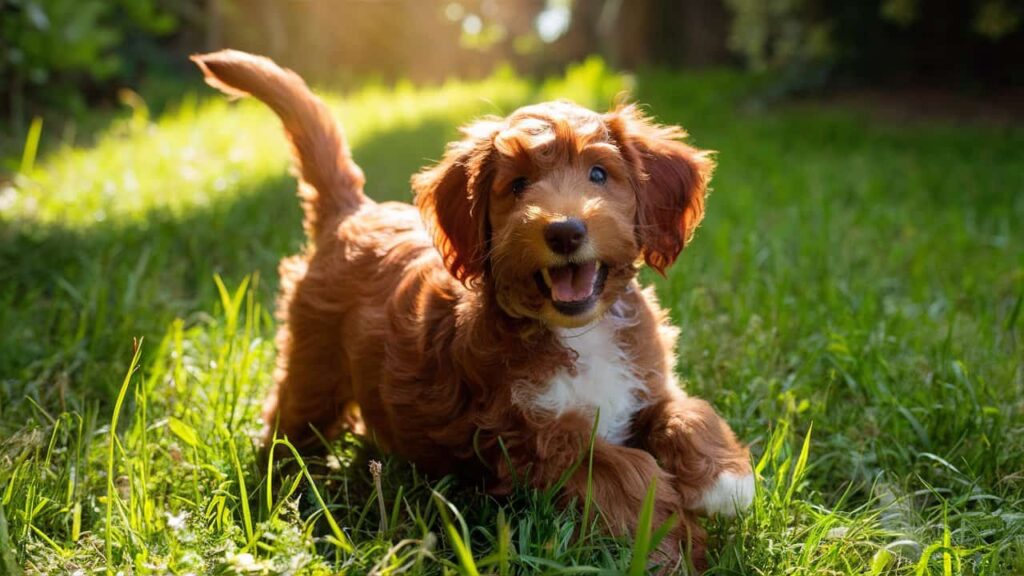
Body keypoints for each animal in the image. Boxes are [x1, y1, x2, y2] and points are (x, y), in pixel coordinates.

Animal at [193, 50, 753, 569]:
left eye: (599, 174)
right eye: (518, 186)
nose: (564, 231)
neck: (579, 331)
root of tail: (353, 211)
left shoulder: (642, 384)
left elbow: (688, 410)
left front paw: (726, 481)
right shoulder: (529, 438)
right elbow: (625, 470)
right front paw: (673, 548)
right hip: (314, 362)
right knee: (291, 417)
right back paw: (279, 473)